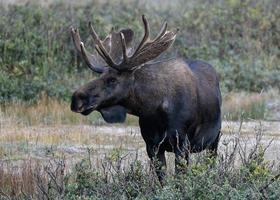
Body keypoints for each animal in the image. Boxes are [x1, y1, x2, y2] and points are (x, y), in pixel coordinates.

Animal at [71, 15, 222, 183]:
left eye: (112, 79)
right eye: (101, 76)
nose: (76, 98)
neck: (155, 109)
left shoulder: (181, 143)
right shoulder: (152, 145)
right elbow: (162, 180)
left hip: (214, 139)